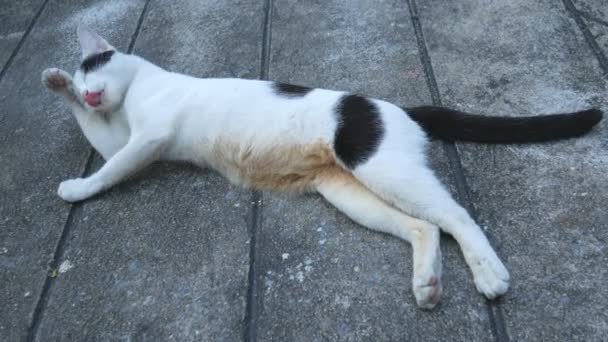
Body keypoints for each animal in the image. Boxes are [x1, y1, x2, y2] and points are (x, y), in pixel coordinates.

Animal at [41, 26, 604, 310]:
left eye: (93, 66)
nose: (87, 90)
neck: (139, 87)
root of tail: (395, 106)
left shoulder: (146, 140)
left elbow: (108, 170)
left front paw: (75, 187)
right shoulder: (123, 138)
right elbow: (102, 142)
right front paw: (57, 84)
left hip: (382, 169)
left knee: (458, 216)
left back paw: (489, 273)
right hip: (350, 192)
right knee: (424, 227)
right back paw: (428, 284)